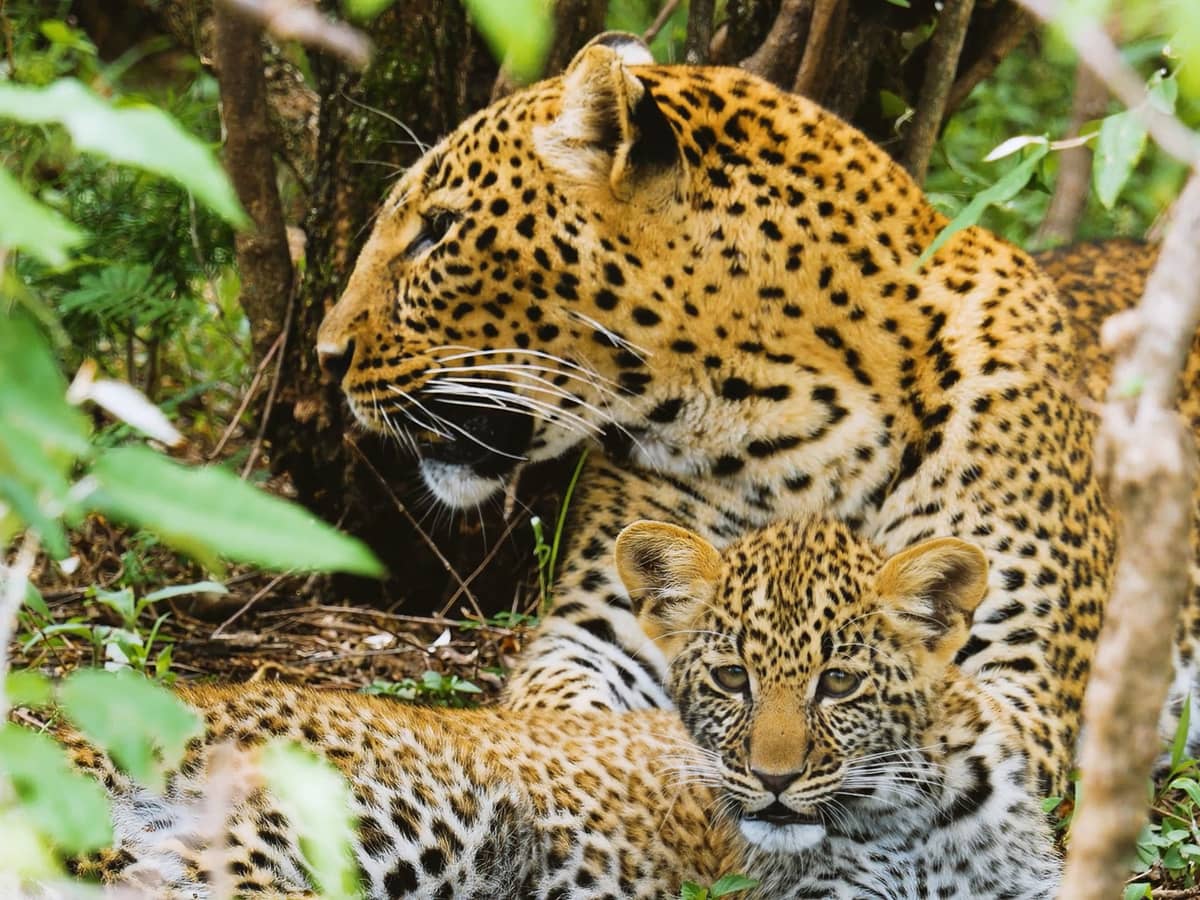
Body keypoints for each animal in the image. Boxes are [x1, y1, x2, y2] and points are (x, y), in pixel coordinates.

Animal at [315, 31, 1198, 796]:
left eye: (438, 230)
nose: (325, 356)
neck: (794, 433)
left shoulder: (1007, 678)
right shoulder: (599, 634)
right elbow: (569, 715)